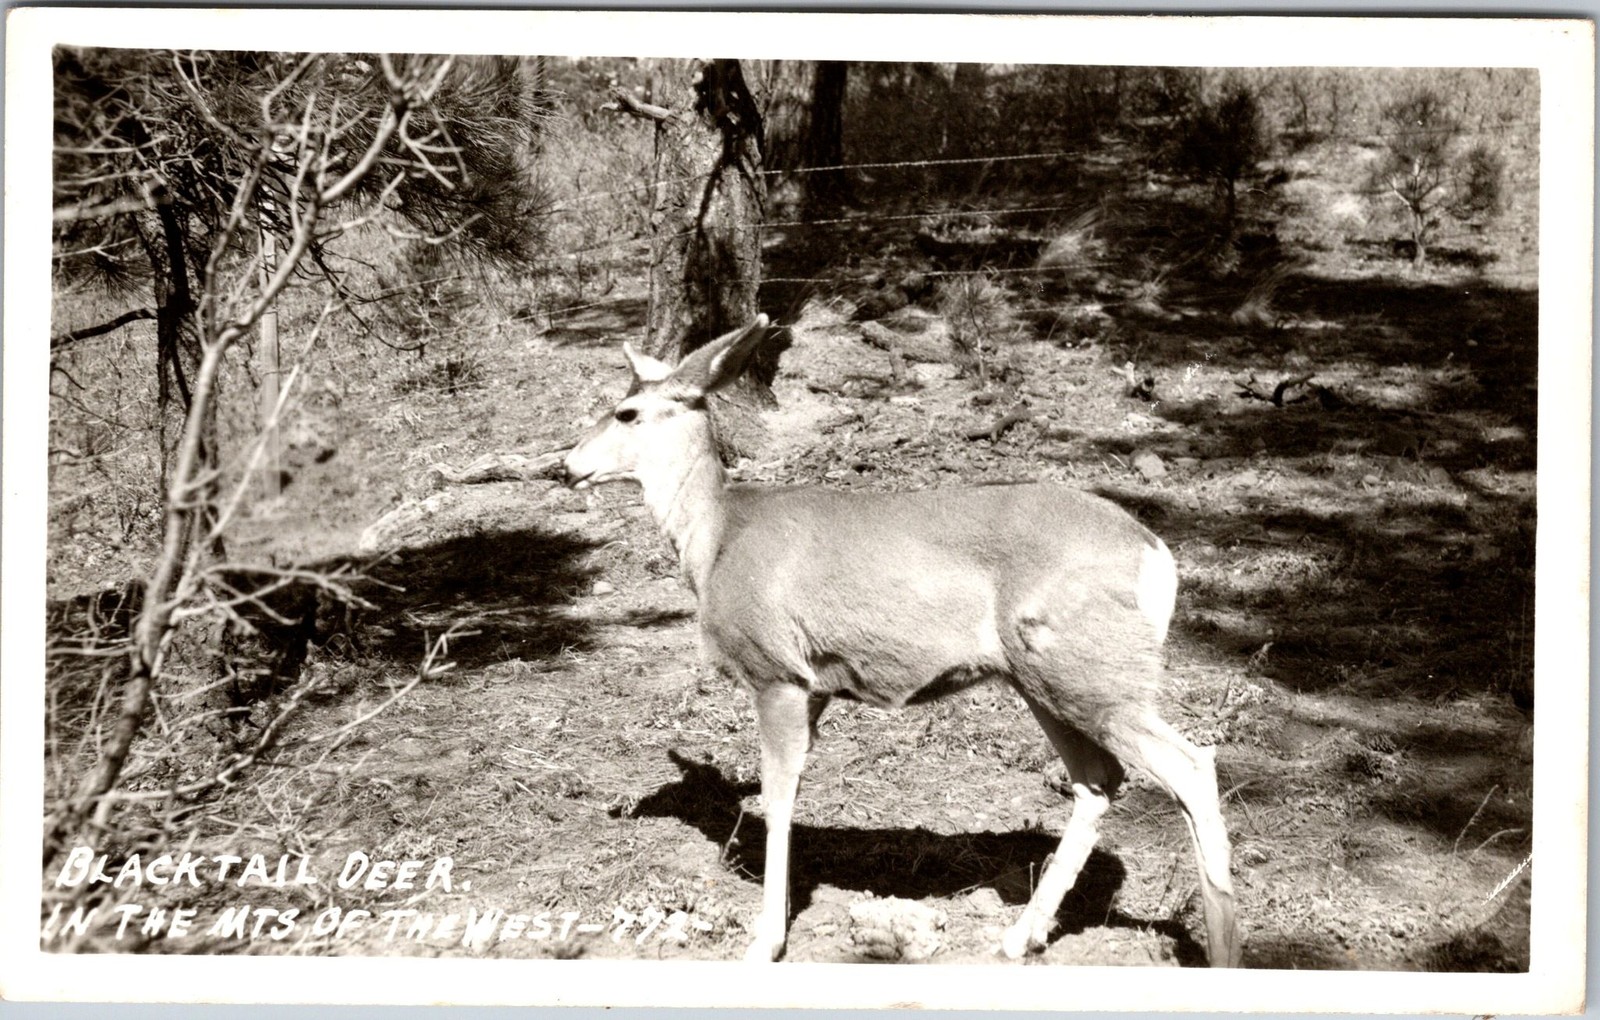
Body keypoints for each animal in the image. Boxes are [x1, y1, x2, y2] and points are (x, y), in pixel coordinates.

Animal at [562, 315, 1240, 967]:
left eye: (626, 412)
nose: (566, 466)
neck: (718, 537)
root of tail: (1158, 557)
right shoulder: (816, 688)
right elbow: (795, 791)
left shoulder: (776, 672)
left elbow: (777, 800)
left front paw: (766, 942)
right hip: (1045, 678)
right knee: (1098, 780)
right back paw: (1021, 937)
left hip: (1089, 667)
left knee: (1189, 764)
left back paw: (1221, 950)